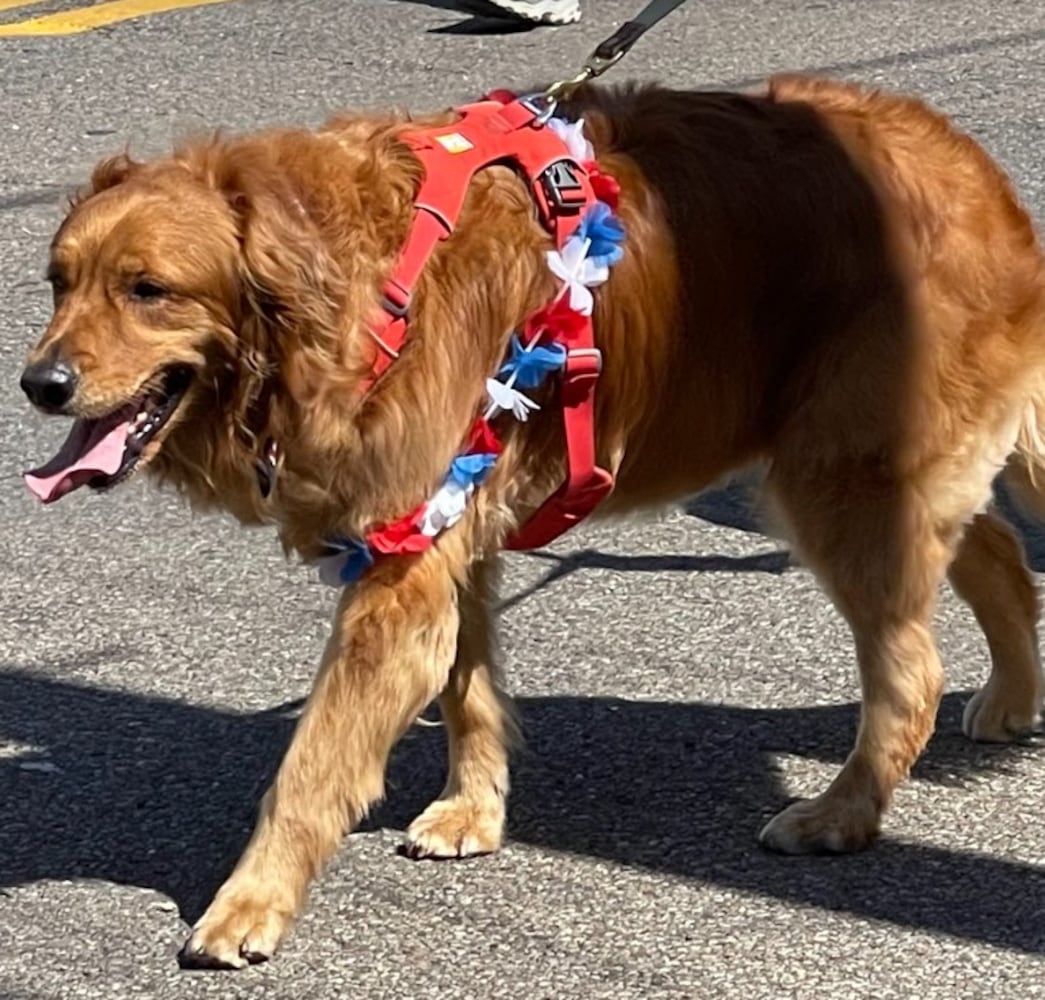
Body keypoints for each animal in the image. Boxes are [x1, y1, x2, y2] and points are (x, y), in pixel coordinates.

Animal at [14, 74, 1045, 965]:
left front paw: (248, 902)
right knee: (996, 551)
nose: (39, 383)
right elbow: (467, 689)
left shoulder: (398, 570)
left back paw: (844, 813)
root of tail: (974, 170)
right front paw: (474, 811)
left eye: (148, 289)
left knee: (911, 668)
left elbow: (309, 765)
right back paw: (1010, 699)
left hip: (837, 479)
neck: (347, 285)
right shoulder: (446, 532)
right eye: (60, 282)